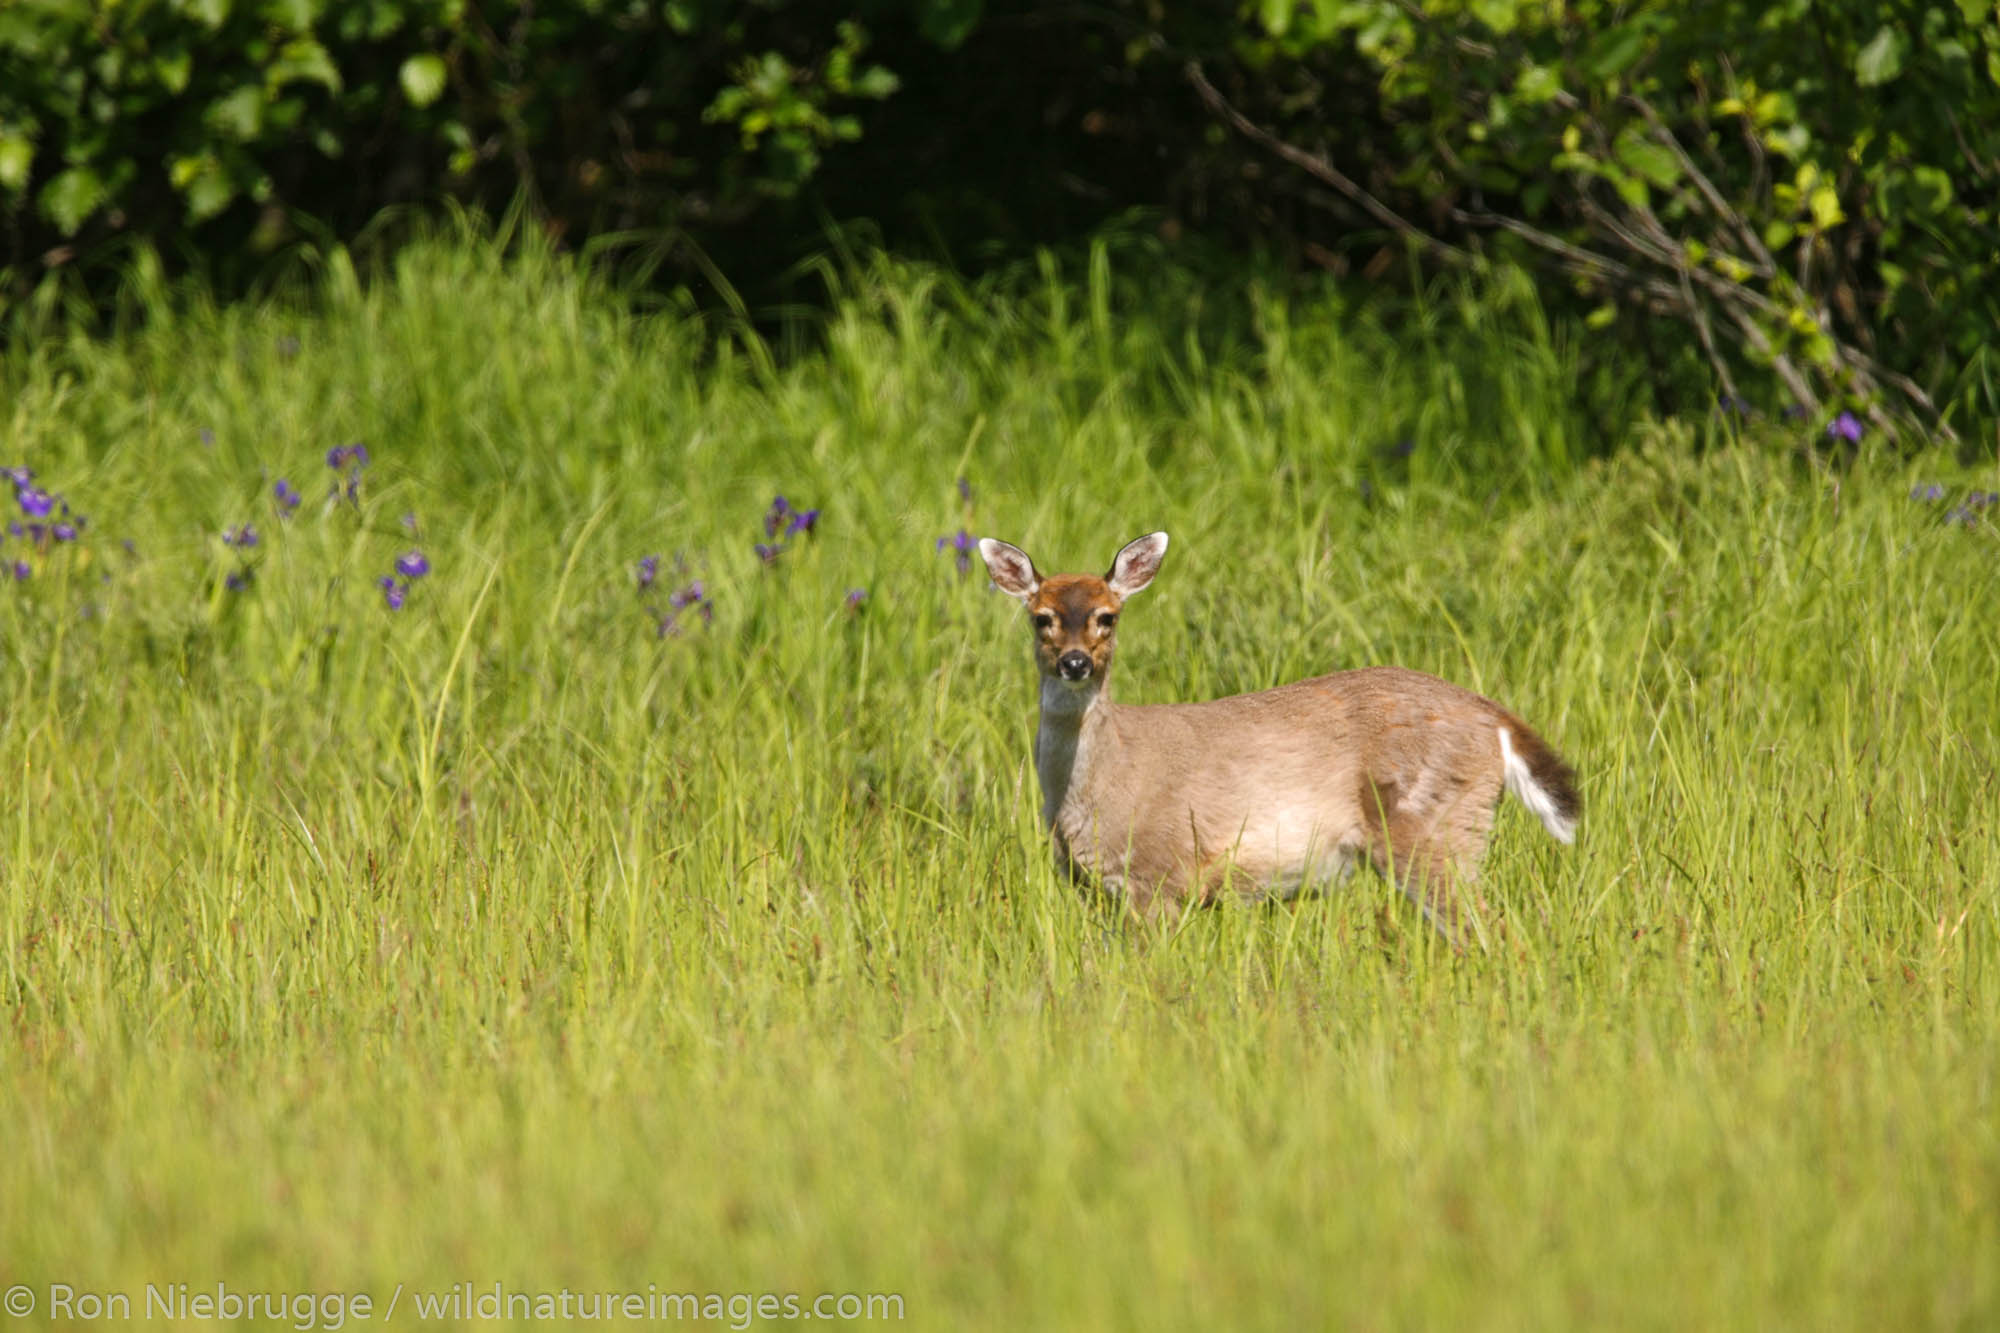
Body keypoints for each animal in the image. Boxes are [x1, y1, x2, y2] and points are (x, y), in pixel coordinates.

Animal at [980, 528, 1576, 944]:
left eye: (1108, 616)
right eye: (1041, 618)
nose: (1075, 663)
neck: (1100, 783)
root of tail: (1493, 718)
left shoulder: (1162, 875)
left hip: (1437, 826)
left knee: (1495, 933)